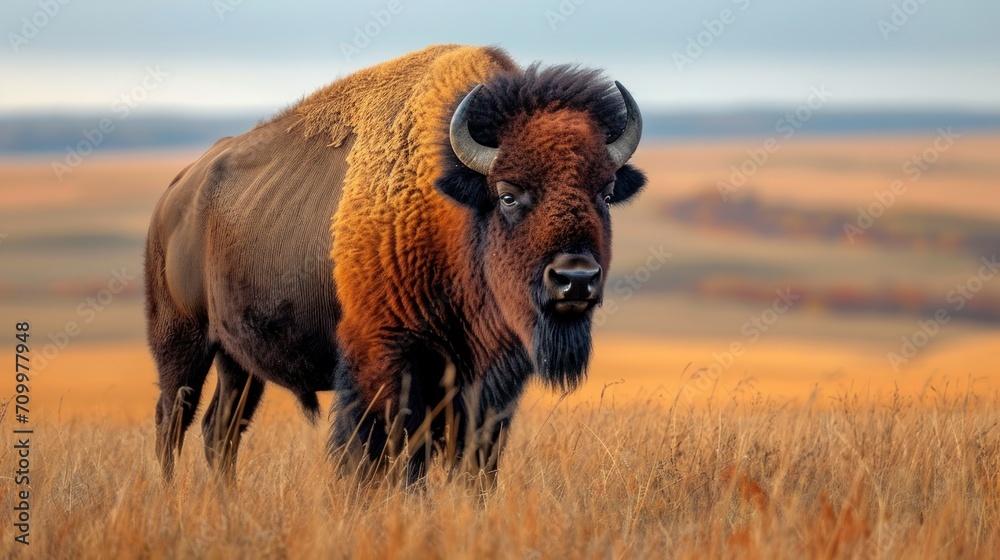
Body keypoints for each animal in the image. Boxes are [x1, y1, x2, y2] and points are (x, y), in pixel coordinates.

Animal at [146, 44, 645, 483]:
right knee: (173, 419)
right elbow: (388, 459)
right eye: (507, 194)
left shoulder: (490, 382)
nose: (575, 279)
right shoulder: (386, 363)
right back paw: (170, 496)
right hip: (182, 342)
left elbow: (474, 463)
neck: (450, 202)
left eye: (605, 193)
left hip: (238, 361)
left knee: (220, 431)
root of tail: (174, 194)